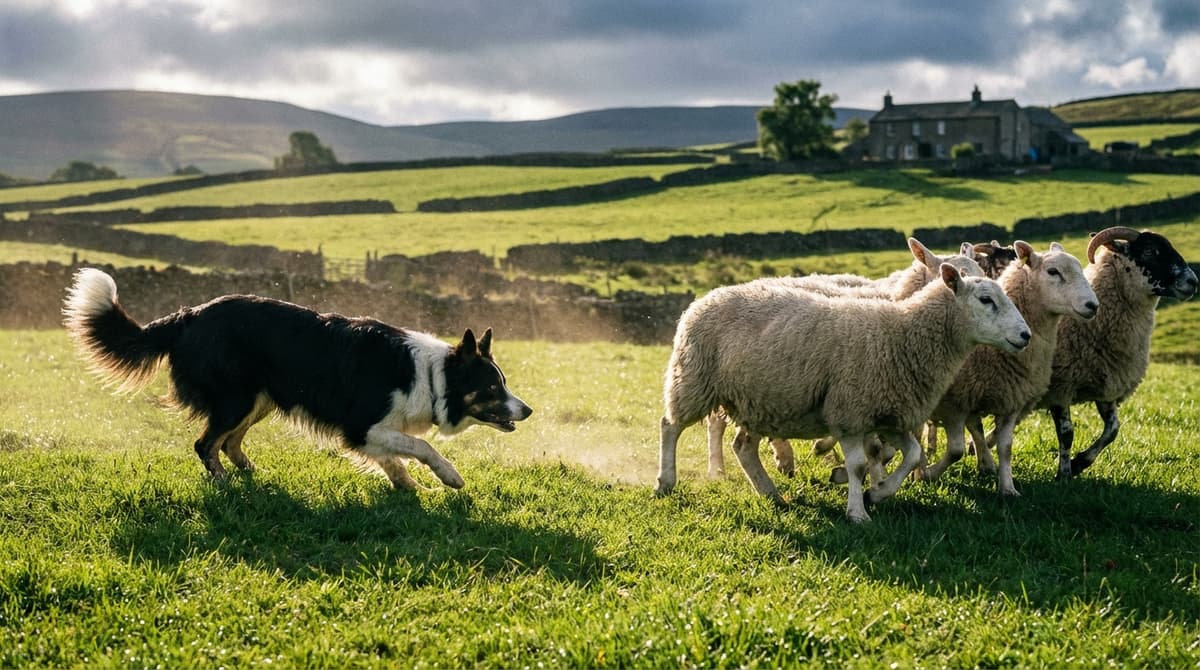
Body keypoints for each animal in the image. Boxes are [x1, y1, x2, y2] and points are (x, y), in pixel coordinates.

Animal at [655, 263, 1031, 522]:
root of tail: (706, 296)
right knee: (670, 426)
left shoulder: (890, 415)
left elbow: (911, 456)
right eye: (986, 299)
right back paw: (666, 482)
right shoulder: (851, 412)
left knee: (743, 447)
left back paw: (772, 494)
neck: (902, 335)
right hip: (694, 379)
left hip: (759, 401)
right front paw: (858, 512)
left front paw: (878, 494)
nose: (1025, 335)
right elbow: (859, 465)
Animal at [918, 242, 1098, 495]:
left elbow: (1005, 447)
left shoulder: (1012, 397)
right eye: (1053, 271)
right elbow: (956, 449)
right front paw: (927, 474)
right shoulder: (957, 401)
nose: (1093, 305)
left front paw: (1007, 487)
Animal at [1038, 227, 1197, 479]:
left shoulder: (1109, 386)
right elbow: (1066, 434)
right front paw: (1063, 474)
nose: (1193, 282)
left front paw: (1080, 462)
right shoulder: (1060, 387)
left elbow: (1113, 430)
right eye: (1149, 251)